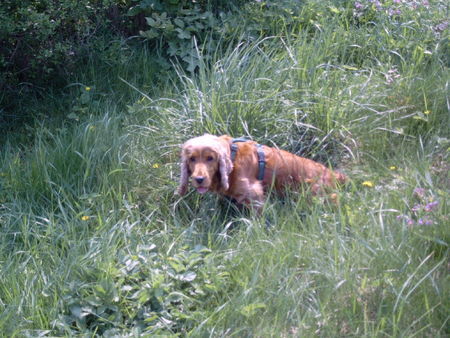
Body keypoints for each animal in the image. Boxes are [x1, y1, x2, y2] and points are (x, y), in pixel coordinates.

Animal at [177, 135, 348, 211]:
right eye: (192, 159)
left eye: (210, 158)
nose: (199, 179)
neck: (232, 157)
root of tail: (333, 173)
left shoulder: (255, 195)